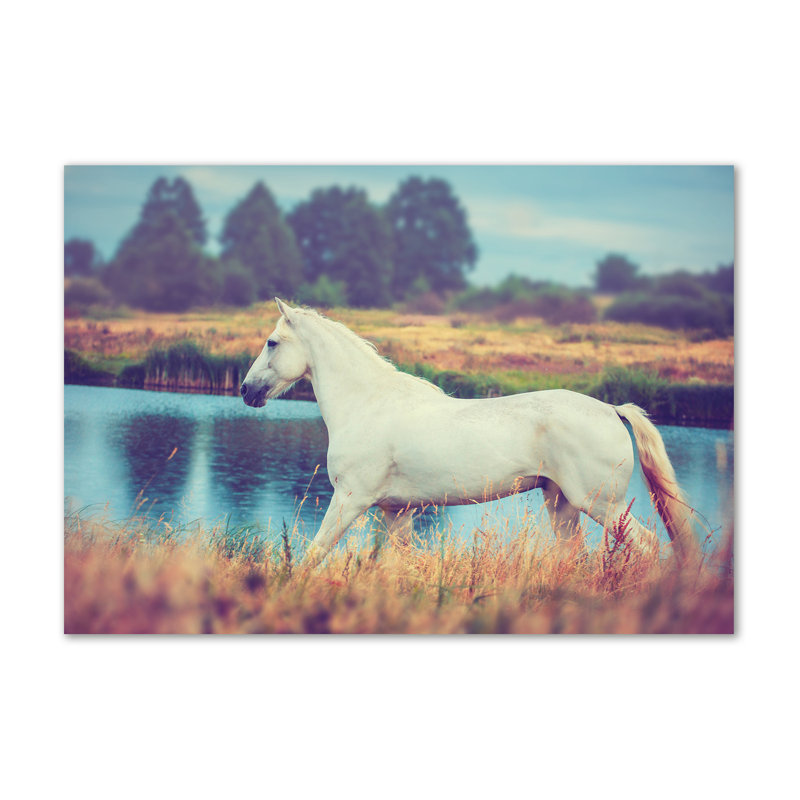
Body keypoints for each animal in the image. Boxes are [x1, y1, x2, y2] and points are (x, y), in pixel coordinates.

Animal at [240, 298, 699, 567]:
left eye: (272, 342)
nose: (246, 391)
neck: (368, 405)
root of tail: (612, 410)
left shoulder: (350, 500)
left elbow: (312, 557)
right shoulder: (395, 512)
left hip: (601, 504)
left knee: (648, 545)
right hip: (562, 503)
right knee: (573, 556)